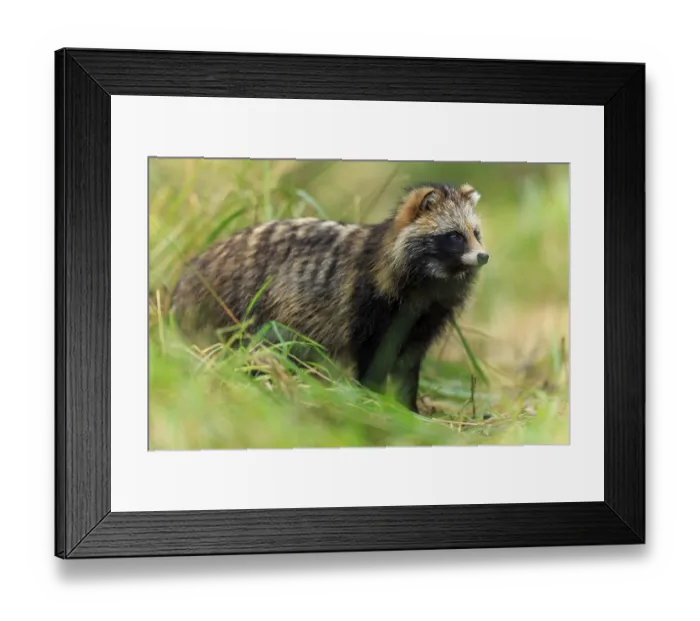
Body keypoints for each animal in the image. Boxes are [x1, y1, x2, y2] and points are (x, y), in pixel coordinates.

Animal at [171, 183, 489, 412]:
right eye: (454, 236)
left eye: (476, 233)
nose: (484, 256)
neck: (433, 281)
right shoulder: (367, 303)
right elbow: (371, 357)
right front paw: (372, 397)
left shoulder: (425, 319)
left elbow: (409, 363)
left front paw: (408, 406)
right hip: (239, 306)